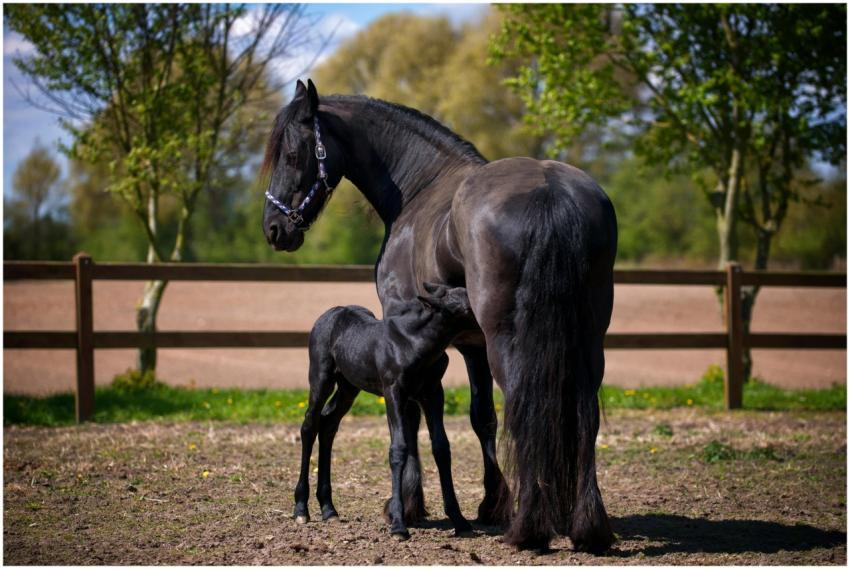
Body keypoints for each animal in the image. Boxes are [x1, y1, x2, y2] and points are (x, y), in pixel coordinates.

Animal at [294, 283, 476, 539]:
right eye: (467, 306)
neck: (414, 343)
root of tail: (330, 313)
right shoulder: (393, 393)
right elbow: (398, 449)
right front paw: (398, 525)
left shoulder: (433, 393)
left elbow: (441, 448)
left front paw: (459, 520)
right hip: (321, 378)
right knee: (309, 426)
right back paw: (301, 508)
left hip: (349, 386)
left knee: (328, 424)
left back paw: (329, 508)